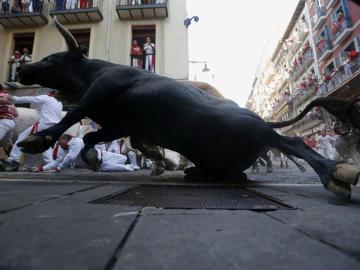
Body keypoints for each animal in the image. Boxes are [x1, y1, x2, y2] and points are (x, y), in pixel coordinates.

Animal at [16, 19, 360, 199]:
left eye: (52, 59)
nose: (23, 69)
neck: (92, 73)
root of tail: (264, 121)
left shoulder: (104, 90)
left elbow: (73, 114)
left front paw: (37, 139)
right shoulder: (120, 125)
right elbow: (90, 136)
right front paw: (91, 158)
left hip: (256, 132)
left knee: (292, 142)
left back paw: (335, 173)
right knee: (236, 169)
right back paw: (196, 171)